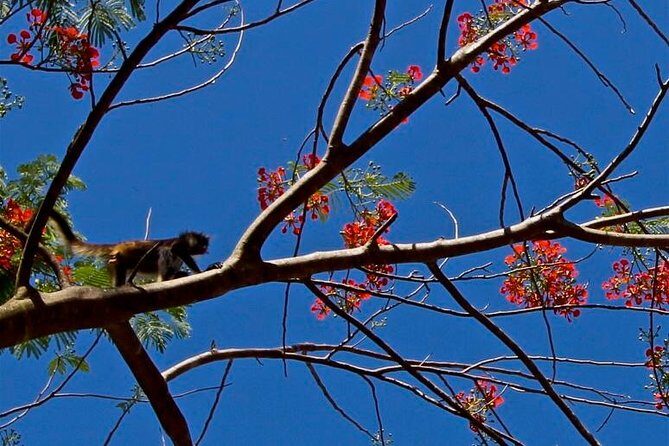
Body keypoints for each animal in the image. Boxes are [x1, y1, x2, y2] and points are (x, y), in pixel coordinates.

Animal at [49, 212, 209, 287]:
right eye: (202, 244)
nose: (206, 250)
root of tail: (118, 246)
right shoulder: (179, 244)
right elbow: (174, 249)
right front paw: (202, 272)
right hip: (124, 255)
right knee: (164, 251)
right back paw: (162, 280)